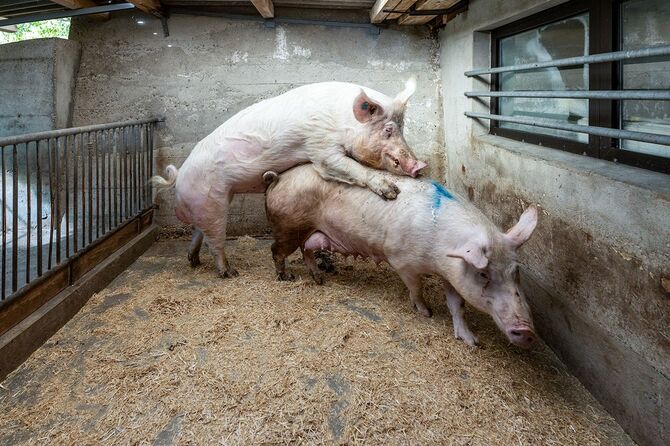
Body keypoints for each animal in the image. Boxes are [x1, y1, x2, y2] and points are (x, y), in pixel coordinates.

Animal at [153, 79, 428, 278]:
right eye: (388, 130)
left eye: (402, 128)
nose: (419, 166)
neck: (342, 122)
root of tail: (178, 179)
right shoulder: (321, 148)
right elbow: (348, 167)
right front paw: (391, 192)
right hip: (213, 202)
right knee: (214, 241)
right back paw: (230, 273)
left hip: (208, 204)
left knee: (197, 232)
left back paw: (194, 261)